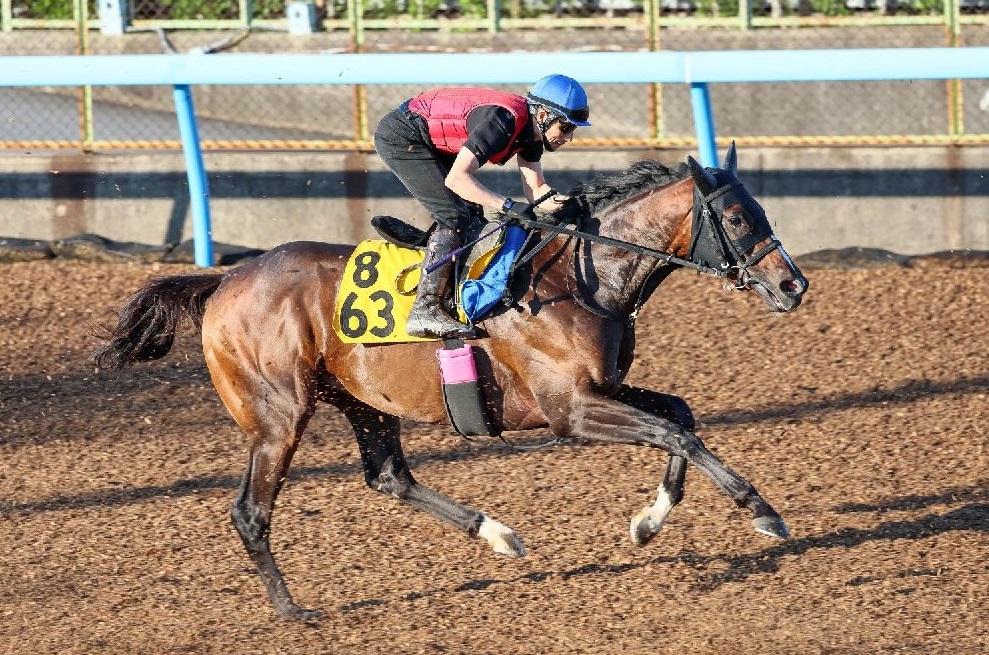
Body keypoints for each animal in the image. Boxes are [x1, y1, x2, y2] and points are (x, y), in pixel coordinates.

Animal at [90, 144, 804, 620]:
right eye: (737, 219)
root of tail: (223, 281)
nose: (793, 284)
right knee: (250, 511)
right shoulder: (570, 410)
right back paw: (292, 610)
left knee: (388, 476)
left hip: (363, 401)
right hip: (278, 416)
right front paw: (761, 512)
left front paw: (648, 523)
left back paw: (497, 533)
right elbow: (676, 434)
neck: (580, 275)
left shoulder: (600, 389)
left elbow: (680, 417)